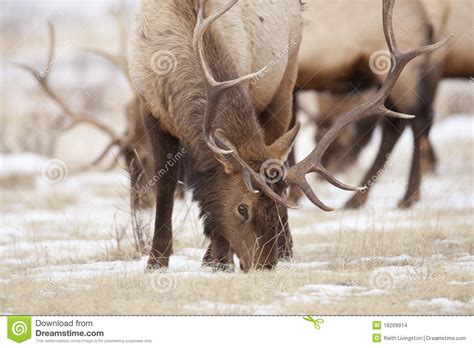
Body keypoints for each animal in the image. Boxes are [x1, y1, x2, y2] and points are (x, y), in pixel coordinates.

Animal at [130, 0, 448, 272]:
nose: (265, 264)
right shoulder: (150, 109)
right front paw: (156, 261)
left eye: (275, 203)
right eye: (242, 208)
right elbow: (165, 186)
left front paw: (220, 259)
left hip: (286, 82)